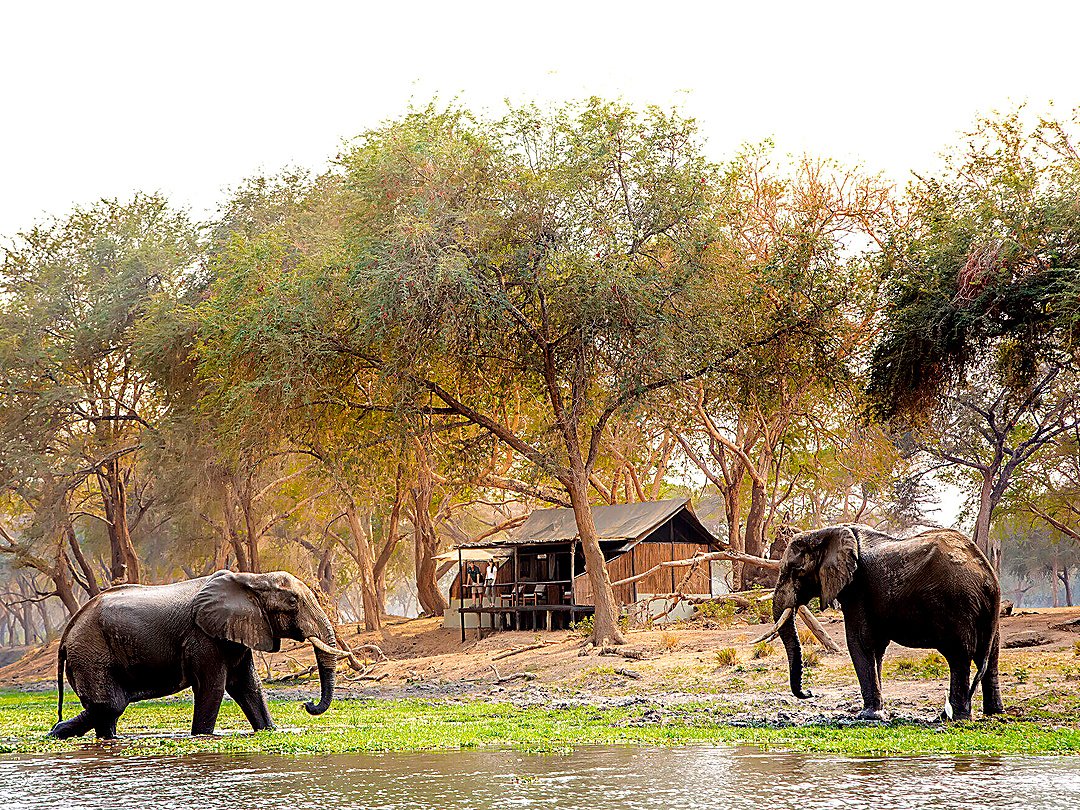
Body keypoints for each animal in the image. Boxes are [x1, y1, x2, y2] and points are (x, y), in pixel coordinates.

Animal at [49, 570, 351, 738]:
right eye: (292, 602)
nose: (308, 705)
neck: (252, 579)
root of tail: (66, 634)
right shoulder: (203, 637)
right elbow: (213, 688)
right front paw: (201, 737)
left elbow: (248, 687)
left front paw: (269, 730)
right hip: (91, 655)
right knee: (111, 705)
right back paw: (57, 733)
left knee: (107, 712)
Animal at [756, 524, 1003, 721]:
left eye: (796, 570)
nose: (809, 693)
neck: (828, 531)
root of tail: (988, 576)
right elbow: (876, 648)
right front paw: (879, 712)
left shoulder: (857, 588)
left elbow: (859, 642)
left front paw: (868, 715)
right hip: (985, 611)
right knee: (991, 656)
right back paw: (992, 713)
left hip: (957, 604)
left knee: (958, 656)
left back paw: (953, 717)